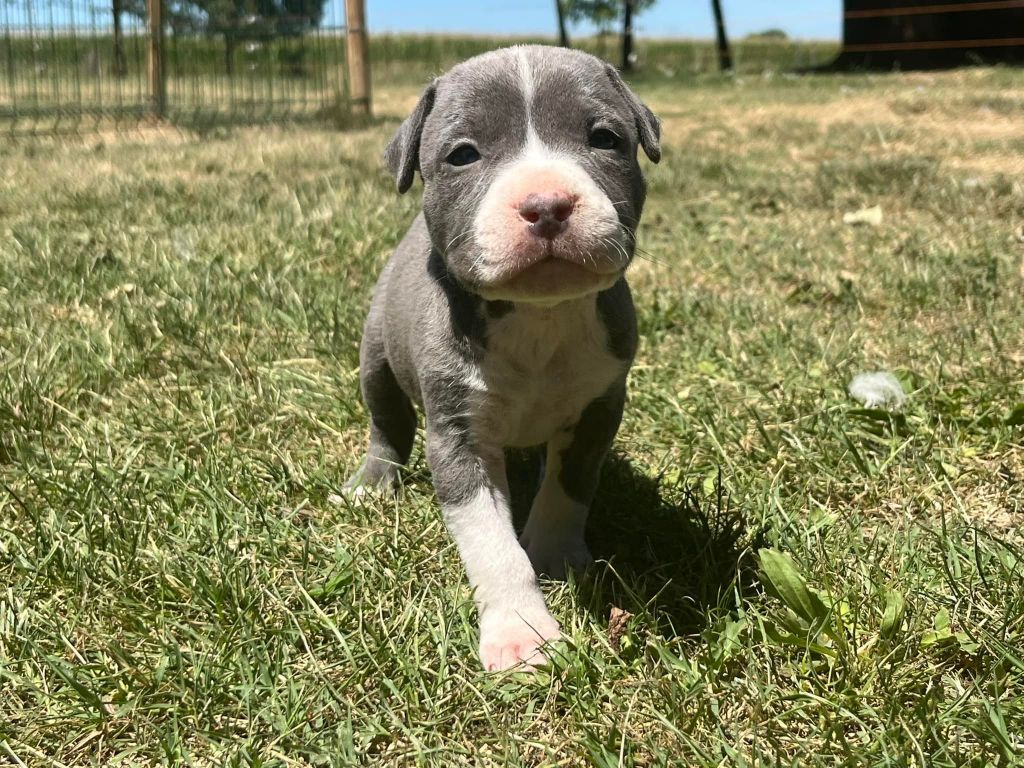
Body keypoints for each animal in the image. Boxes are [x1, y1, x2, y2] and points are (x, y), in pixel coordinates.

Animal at [346, 45, 660, 671]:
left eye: (605, 139)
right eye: (463, 154)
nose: (546, 204)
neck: (537, 316)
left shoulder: (599, 409)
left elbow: (568, 490)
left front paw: (557, 555)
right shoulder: (458, 438)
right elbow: (493, 545)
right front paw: (520, 633)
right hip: (376, 356)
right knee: (386, 420)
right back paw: (374, 481)